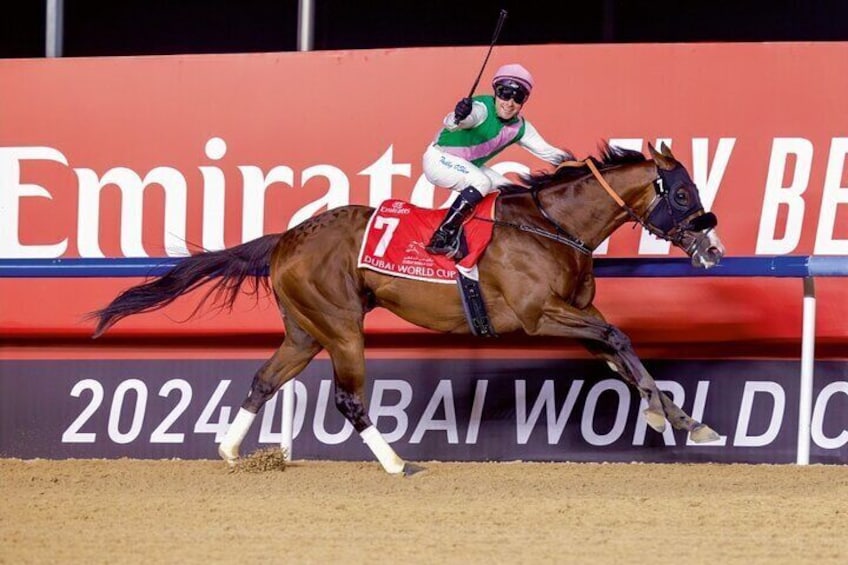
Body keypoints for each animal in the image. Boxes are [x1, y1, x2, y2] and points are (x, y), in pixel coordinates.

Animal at [94, 143, 728, 474]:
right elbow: (620, 338)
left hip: (304, 330)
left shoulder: (572, 317)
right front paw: (669, 419)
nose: (714, 249)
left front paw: (686, 421)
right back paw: (397, 463)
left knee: (264, 379)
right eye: (682, 194)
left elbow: (621, 351)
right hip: (341, 326)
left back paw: (230, 449)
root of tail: (285, 238)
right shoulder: (536, 314)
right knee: (349, 398)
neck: (552, 226)